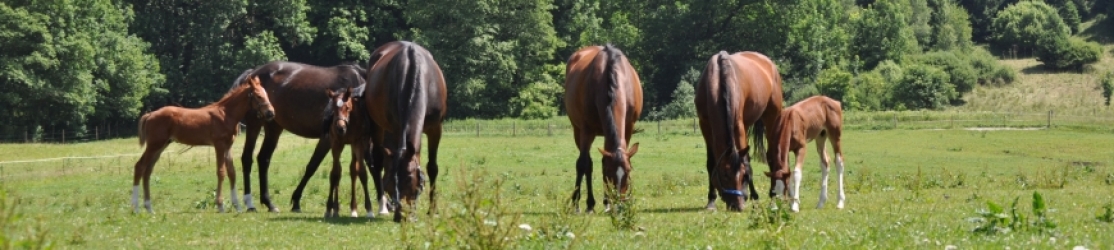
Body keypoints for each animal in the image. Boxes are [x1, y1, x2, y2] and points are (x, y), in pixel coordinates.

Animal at [130, 75, 276, 213]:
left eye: (267, 94)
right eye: (258, 96)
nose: (271, 113)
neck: (226, 114)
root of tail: (150, 115)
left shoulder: (228, 146)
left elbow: (232, 172)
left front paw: (238, 206)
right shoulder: (219, 145)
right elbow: (221, 172)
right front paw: (220, 205)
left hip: (161, 146)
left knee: (148, 170)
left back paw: (149, 208)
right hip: (154, 145)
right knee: (140, 166)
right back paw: (136, 208)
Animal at [230, 61, 383, 213]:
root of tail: (252, 73)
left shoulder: (360, 138)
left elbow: (370, 165)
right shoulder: (328, 139)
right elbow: (312, 166)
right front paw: (296, 201)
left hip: (273, 127)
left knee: (263, 158)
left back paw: (269, 203)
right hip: (254, 124)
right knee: (247, 158)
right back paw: (250, 203)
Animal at [363, 41, 445, 223]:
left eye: (410, 181)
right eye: (390, 185)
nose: (401, 216)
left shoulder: (435, 129)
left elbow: (432, 167)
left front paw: (433, 210)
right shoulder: (396, 128)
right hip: (378, 126)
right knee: (378, 161)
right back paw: (382, 207)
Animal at [565, 44, 646, 213]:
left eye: (628, 171)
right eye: (610, 172)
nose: (619, 203)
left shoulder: (628, 128)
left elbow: (604, 161)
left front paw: (607, 201)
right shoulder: (587, 130)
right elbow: (583, 164)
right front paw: (578, 203)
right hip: (578, 131)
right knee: (587, 164)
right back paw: (588, 203)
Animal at [695, 50, 784, 210]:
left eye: (744, 176)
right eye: (725, 175)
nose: (738, 206)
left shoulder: (738, 125)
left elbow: (746, 161)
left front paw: (754, 197)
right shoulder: (704, 125)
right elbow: (711, 162)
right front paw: (711, 201)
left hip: (772, 117)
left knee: (772, 155)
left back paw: (773, 195)